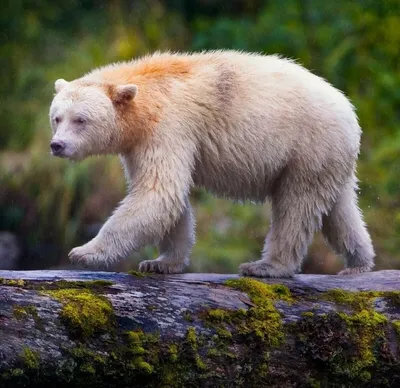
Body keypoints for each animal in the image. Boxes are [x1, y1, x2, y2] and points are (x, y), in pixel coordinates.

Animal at [49, 50, 376, 278]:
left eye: (81, 120)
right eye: (56, 118)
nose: (57, 145)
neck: (147, 97)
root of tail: (348, 110)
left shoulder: (169, 126)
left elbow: (158, 193)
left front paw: (83, 252)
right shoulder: (138, 143)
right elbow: (169, 199)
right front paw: (160, 262)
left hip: (308, 145)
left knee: (296, 206)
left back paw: (266, 266)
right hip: (330, 156)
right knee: (339, 208)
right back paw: (359, 262)